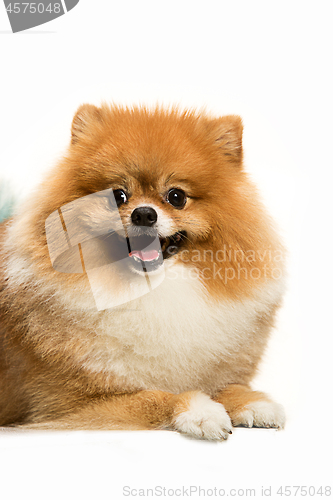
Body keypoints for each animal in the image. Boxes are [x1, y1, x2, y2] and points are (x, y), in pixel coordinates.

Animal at [0, 103, 286, 440]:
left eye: (176, 196)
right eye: (118, 195)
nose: (145, 214)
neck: (153, 289)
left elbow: (224, 385)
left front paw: (252, 402)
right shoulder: (63, 406)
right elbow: (154, 397)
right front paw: (200, 410)